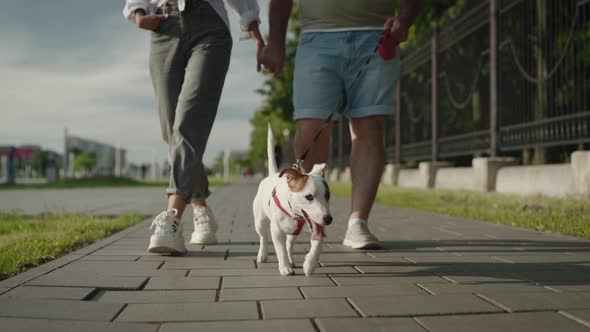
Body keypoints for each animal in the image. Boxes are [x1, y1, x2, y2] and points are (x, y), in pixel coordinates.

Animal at [253, 124, 332, 274]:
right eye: (309, 197)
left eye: (328, 195)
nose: (328, 219)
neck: (295, 214)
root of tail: (272, 175)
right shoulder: (276, 231)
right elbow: (280, 250)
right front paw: (285, 267)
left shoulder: (316, 224)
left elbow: (318, 243)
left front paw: (309, 265)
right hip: (260, 221)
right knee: (263, 237)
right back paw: (263, 255)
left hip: (293, 232)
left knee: (289, 243)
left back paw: (292, 260)